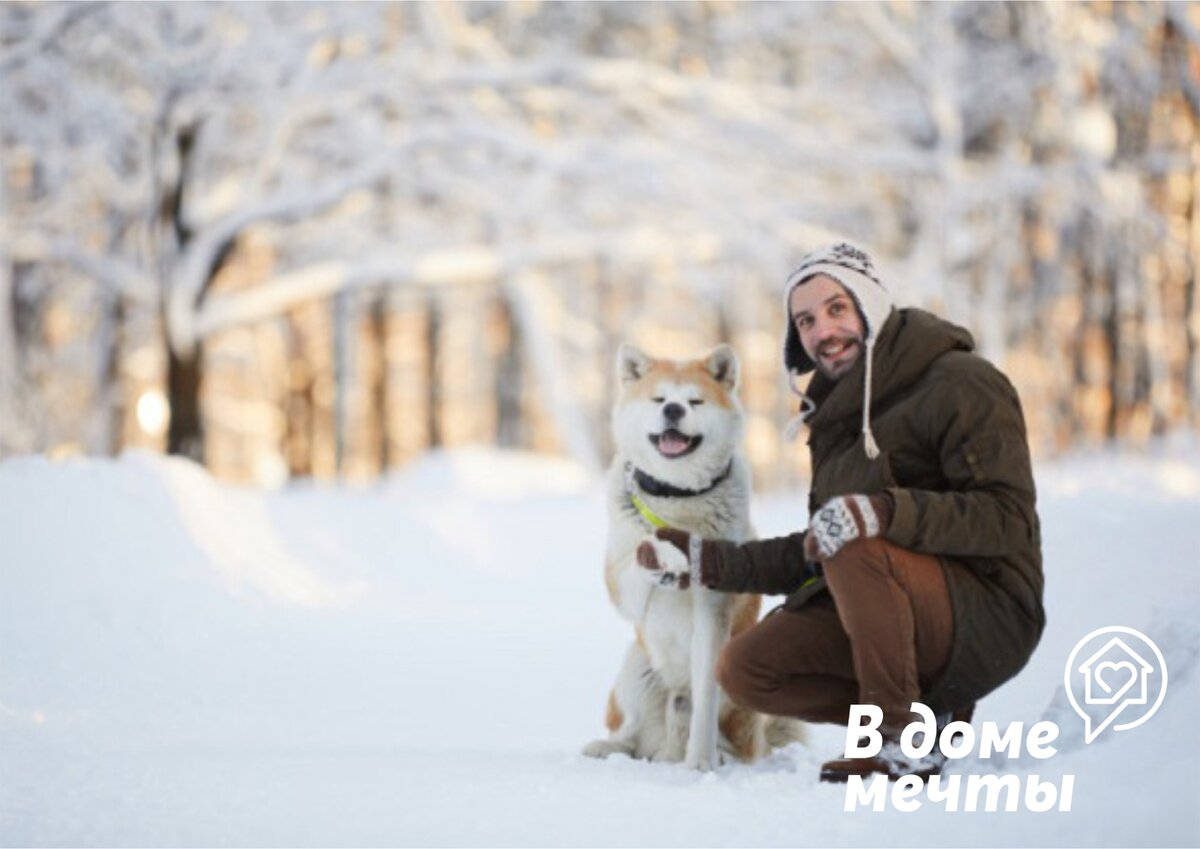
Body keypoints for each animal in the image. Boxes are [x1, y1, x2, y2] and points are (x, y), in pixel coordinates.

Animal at [583, 340, 806, 767]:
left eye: (694, 401)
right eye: (659, 399)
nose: (673, 410)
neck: (678, 499)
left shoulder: (713, 611)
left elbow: (705, 701)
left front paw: (700, 763)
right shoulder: (623, 590)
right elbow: (644, 549)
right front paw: (666, 555)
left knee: (732, 740)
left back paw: (716, 756)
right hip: (636, 669)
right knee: (633, 735)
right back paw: (609, 748)